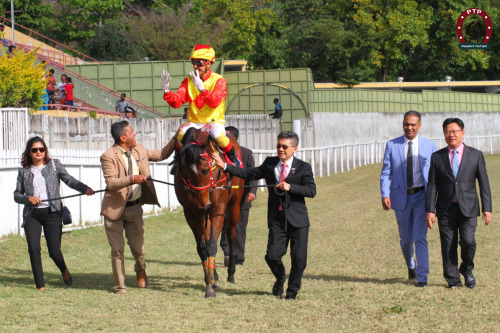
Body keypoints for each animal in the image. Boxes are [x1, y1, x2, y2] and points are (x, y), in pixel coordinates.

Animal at [175, 126, 245, 296]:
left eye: (206, 170)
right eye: (185, 171)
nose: (204, 203)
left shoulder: (218, 208)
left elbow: (212, 244)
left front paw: (210, 289)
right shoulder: (191, 212)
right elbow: (203, 247)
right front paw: (209, 282)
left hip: (234, 204)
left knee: (232, 235)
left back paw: (231, 273)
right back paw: (215, 276)